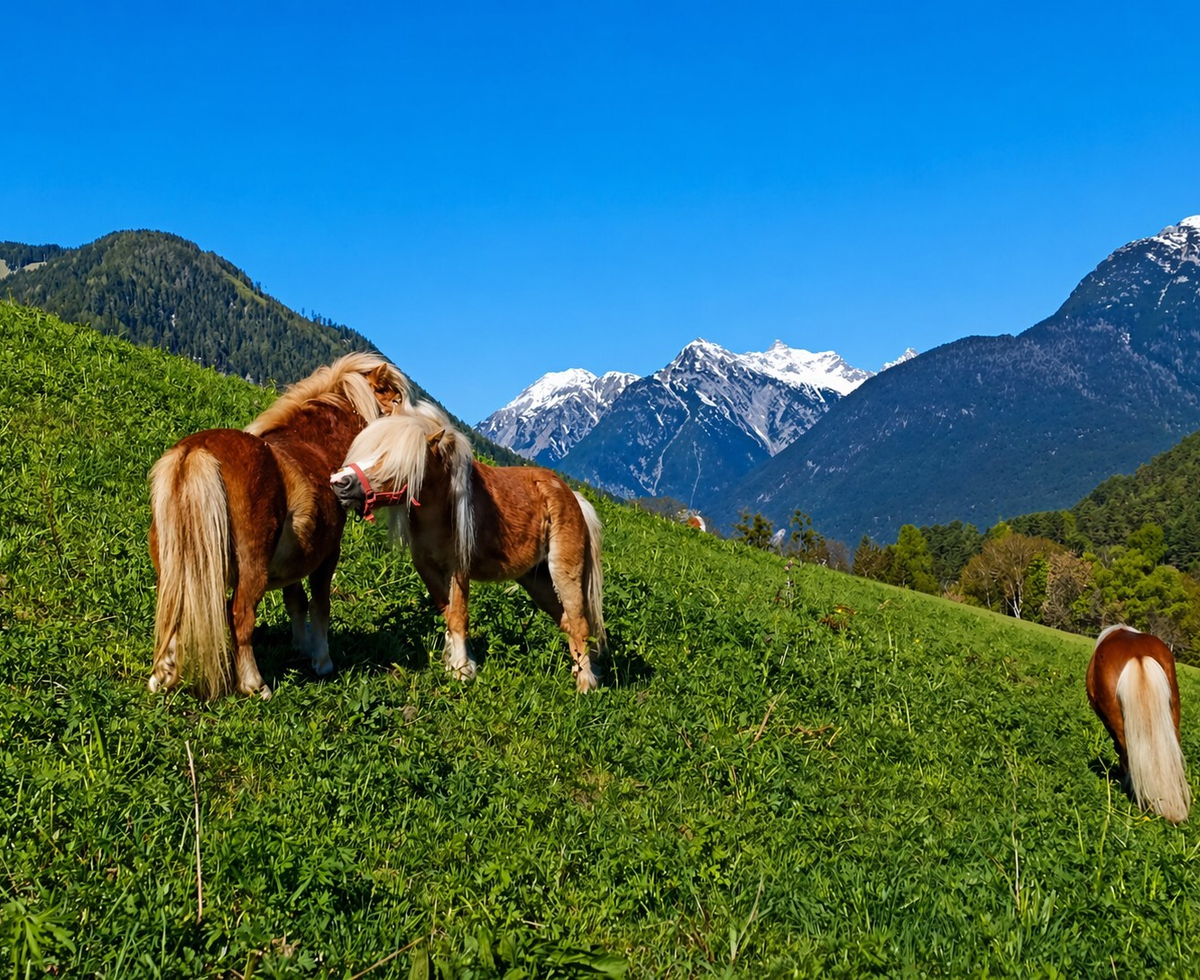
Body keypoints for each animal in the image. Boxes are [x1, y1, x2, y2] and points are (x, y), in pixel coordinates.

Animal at [148, 352, 410, 700]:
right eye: (395, 401)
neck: (315, 446)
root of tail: (195, 452)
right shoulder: (327, 555)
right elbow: (320, 605)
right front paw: (321, 660)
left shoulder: (295, 561)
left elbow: (296, 601)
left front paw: (300, 646)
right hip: (252, 568)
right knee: (240, 615)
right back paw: (254, 684)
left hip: (174, 568)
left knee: (172, 611)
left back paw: (162, 676)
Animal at [329, 402, 606, 691]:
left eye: (392, 461)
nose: (339, 483)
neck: (442, 507)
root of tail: (572, 496)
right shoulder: (427, 568)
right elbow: (448, 613)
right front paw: (456, 662)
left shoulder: (458, 568)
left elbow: (459, 615)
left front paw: (462, 669)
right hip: (537, 580)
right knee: (568, 623)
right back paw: (580, 671)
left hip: (564, 572)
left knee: (579, 624)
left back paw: (585, 684)